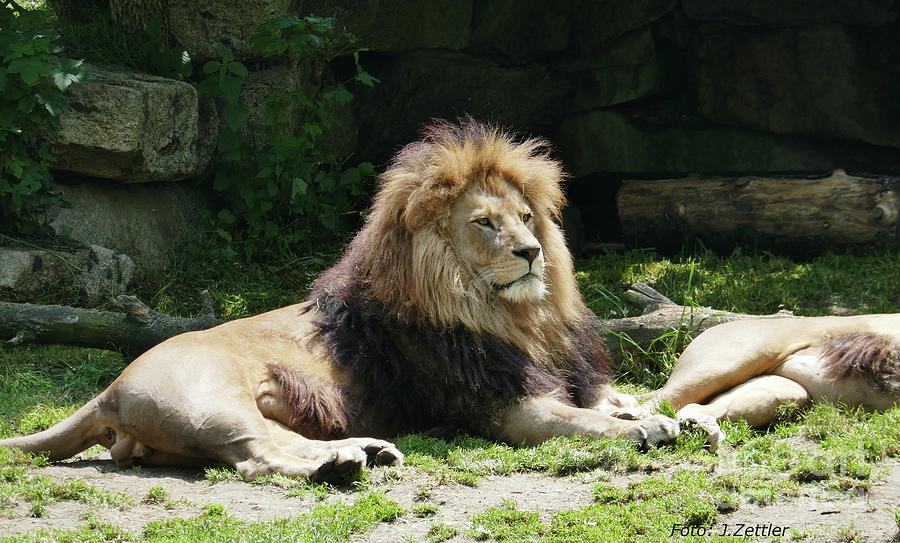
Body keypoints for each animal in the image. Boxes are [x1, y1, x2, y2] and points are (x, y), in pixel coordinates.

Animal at [0, 119, 680, 480]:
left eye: (527, 217)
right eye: (486, 223)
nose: (533, 252)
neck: (514, 316)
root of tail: (109, 389)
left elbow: (613, 400)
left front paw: (655, 409)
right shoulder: (508, 408)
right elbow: (585, 420)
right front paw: (647, 426)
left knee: (280, 441)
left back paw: (364, 451)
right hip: (210, 401)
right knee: (257, 456)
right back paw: (340, 467)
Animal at [640, 314, 900, 450]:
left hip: (787, 389)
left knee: (696, 407)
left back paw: (702, 428)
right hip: (729, 361)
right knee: (649, 404)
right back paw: (651, 432)